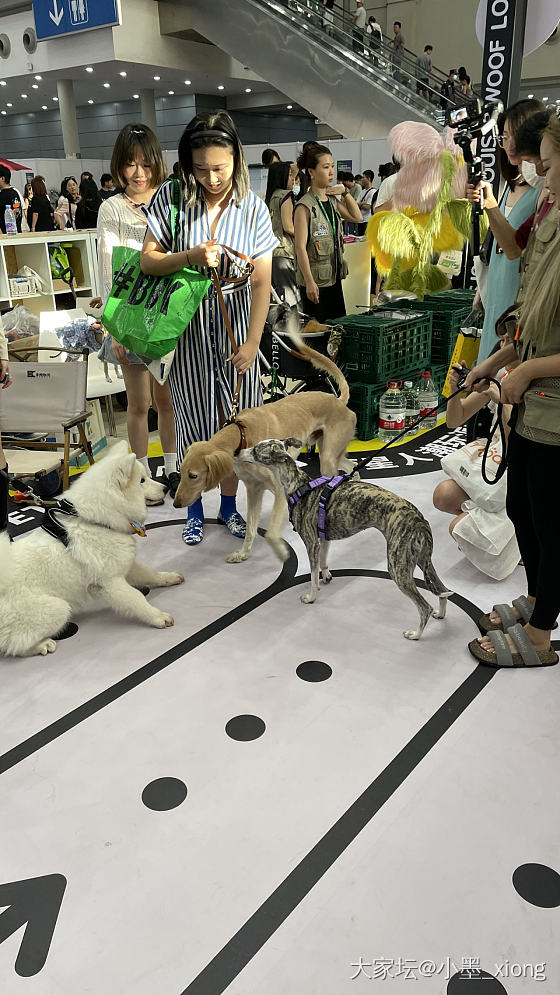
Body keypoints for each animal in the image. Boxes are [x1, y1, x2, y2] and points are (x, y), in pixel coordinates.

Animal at [0, 440, 185, 656]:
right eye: (142, 481)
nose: (165, 488)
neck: (98, 521)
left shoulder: (124, 564)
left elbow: (150, 573)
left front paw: (168, 578)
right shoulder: (108, 582)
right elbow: (136, 598)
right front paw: (158, 616)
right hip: (58, 608)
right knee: (14, 645)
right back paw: (41, 645)